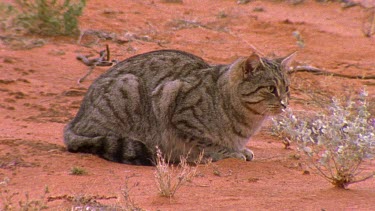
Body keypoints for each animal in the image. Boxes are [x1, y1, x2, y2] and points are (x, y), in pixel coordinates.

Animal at [64, 49, 294, 165]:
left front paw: (239, 149)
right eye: (271, 88)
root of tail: (73, 123)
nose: (284, 104)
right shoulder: (174, 102)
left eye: (287, 88)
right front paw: (228, 152)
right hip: (129, 86)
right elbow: (207, 143)